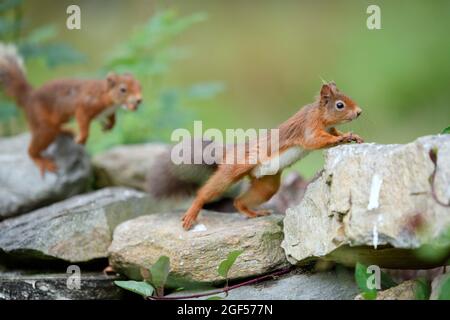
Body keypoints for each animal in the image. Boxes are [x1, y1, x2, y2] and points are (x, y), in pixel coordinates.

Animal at [0, 43, 142, 175]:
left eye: (140, 85)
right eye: (123, 89)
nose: (139, 100)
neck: (109, 101)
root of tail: (29, 97)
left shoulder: (108, 112)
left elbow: (112, 119)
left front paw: (110, 126)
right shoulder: (85, 106)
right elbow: (83, 122)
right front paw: (82, 138)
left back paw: (65, 130)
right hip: (42, 122)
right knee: (34, 145)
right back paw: (40, 160)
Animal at [181, 81, 364, 229]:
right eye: (340, 105)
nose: (359, 112)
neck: (319, 115)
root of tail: (232, 150)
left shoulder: (329, 128)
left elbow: (336, 133)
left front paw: (353, 136)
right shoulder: (309, 127)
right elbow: (315, 141)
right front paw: (341, 138)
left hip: (266, 185)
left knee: (239, 201)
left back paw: (254, 213)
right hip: (236, 167)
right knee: (208, 190)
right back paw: (192, 213)